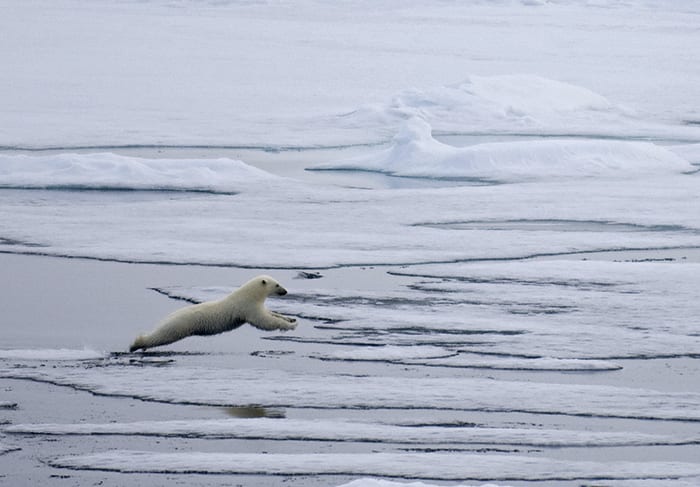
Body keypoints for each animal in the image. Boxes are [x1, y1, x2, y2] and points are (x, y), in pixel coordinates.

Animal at [130, 276, 296, 352]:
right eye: (277, 284)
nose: (286, 291)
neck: (249, 294)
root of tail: (168, 317)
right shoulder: (247, 307)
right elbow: (264, 322)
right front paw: (289, 326)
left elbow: (270, 314)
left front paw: (291, 319)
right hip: (179, 326)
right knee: (161, 336)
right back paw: (136, 344)